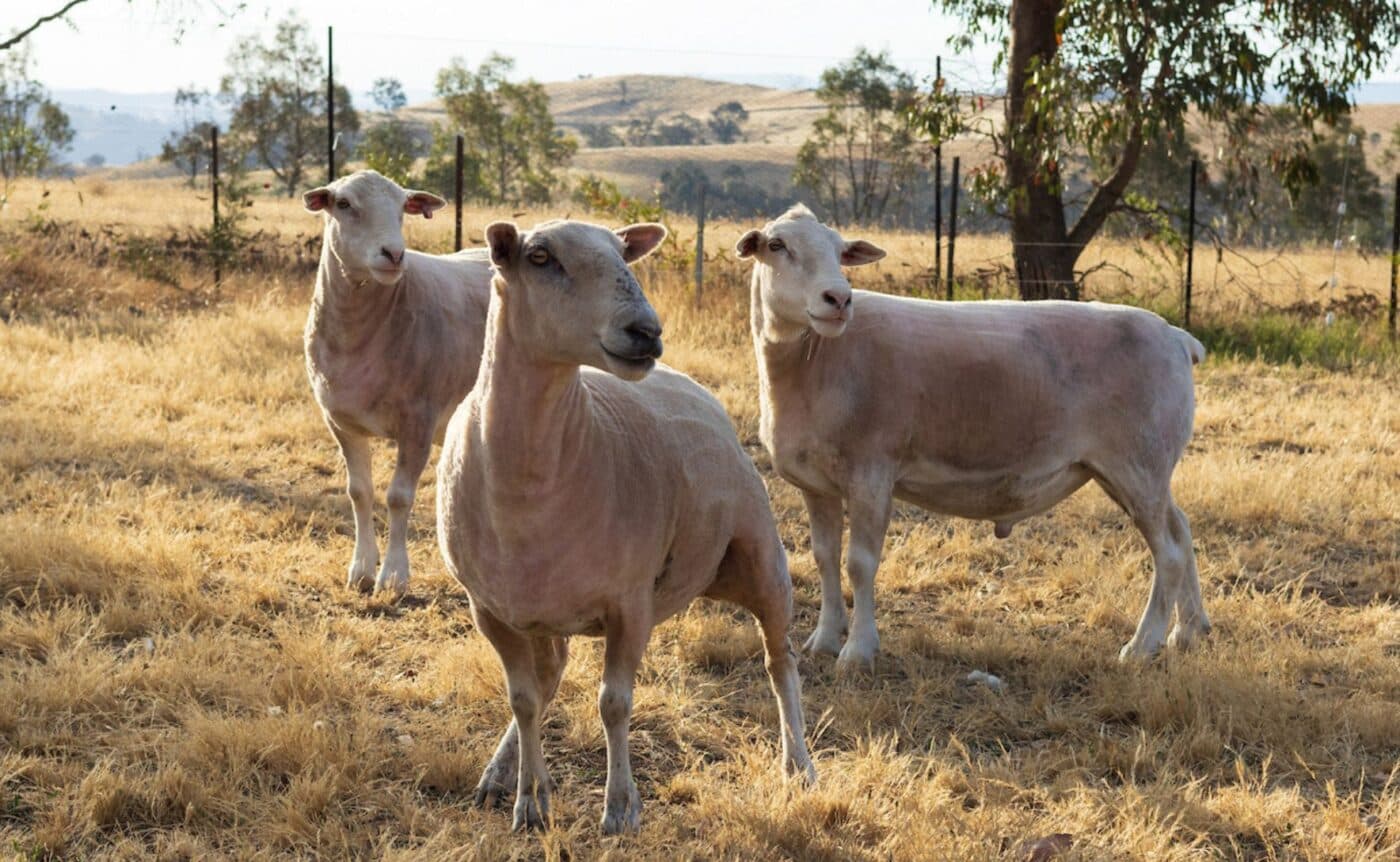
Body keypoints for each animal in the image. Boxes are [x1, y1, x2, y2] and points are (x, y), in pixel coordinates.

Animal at [301, 170, 492, 596]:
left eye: (404, 206)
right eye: (343, 204)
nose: (394, 254)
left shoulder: (419, 419)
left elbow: (399, 497)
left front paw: (393, 576)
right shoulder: (340, 421)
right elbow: (359, 492)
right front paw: (361, 569)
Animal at [431, 216, 817, 834]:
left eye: (621, 254)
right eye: (539, 257)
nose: (646, 331)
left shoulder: (630, 604)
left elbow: (613, 703)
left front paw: (620, 806)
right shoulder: (489, 608)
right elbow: (524, 700)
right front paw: (531, 800)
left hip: (760, 555)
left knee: (780, 659)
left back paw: (799, 766)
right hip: (542, 604)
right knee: (549, 676)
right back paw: (500, 772)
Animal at [739, 205, 1209, 668]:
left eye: (840, 252)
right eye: (777, 245)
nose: (838, 299)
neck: (814, 359)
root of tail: (1177, 338)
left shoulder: (871, 471)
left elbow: (859, 564)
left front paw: (857, 652)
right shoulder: (817, 484)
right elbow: (824, 557)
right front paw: (823, 640)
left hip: (1138, 462)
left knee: (1168, 552)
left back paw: (1142, 645)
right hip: (1135, 469)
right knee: (1182, 528)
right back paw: (1188, 631)